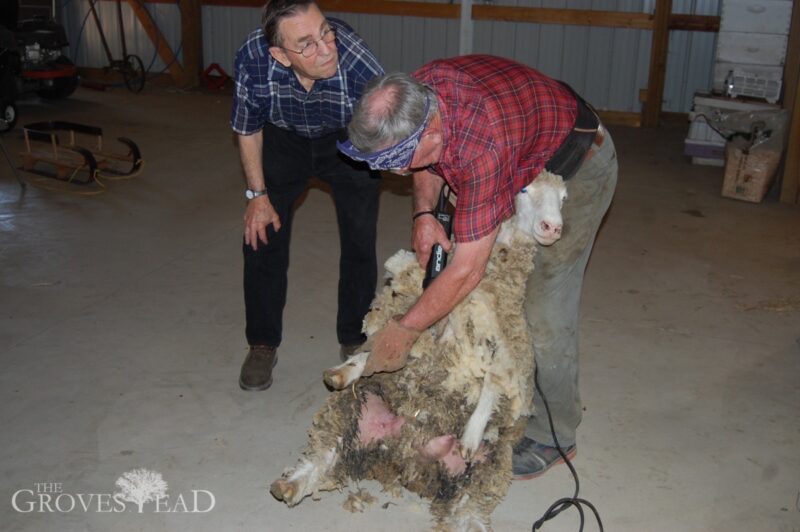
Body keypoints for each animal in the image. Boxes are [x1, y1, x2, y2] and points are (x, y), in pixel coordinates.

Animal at [270, 171, 568, 532]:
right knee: (325, 453)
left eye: (564, 198)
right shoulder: (425, 320)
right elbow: (386, 341)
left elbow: (492, 384)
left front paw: (471, 434)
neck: (492, 280)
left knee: (469, 514)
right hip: (351, 412)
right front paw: (346, 369)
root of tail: (405, 461)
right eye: (525, 189)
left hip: (485, 473)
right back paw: (290, 484)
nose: (553, 227)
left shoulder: (508, 353)